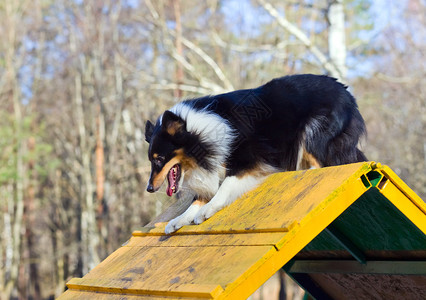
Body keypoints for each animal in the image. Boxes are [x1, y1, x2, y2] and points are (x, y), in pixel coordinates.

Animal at [144, 74, 366, 233]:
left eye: (160, 159)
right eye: (151, 161)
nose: (149, 188)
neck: (199, 132)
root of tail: (348, 94)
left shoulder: (251, 160)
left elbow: (226, 185)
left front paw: (207, 210)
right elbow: (197, 200)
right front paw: (178, 220)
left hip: (312, 132)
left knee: (321, 164)